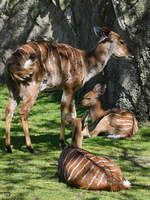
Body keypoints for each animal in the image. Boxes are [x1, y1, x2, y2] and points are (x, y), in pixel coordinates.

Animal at [5, 26, 133, 152]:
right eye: (121, 41)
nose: (131, 55)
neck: (86, 62)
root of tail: (12, 62)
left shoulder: (72, 90)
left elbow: (73, 114)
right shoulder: (68, 87)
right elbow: (64, 113)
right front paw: (62, 142)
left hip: (13, 91)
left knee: (8, 111)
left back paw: (8, 147)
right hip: (32, 89)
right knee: (23, 112)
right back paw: (30, 147)